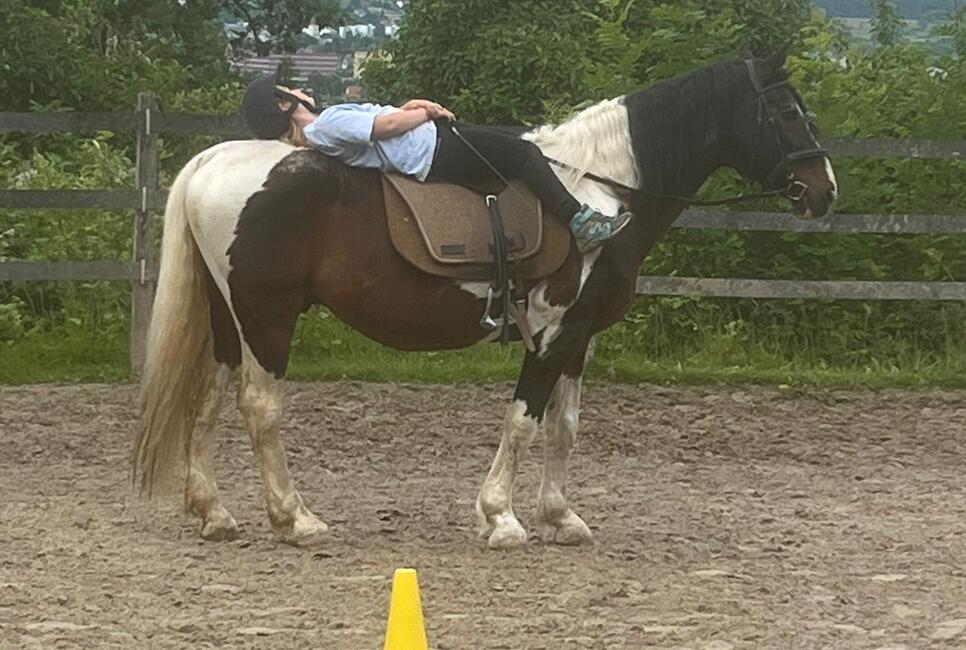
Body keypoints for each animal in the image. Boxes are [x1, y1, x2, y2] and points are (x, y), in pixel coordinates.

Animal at [133, 52, 837, 549]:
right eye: (787, 112)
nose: (824, 190)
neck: (607, 192)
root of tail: (212, 163)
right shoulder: (550, 333)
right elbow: (523, 421)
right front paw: (501, 518)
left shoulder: (580, 335)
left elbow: (564, 428)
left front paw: (561, 517)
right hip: (267, 317)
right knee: (259, 407)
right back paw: (295, 519)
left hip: (229, 320)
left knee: (207, 400)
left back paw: (215, 512)